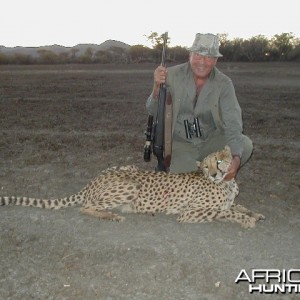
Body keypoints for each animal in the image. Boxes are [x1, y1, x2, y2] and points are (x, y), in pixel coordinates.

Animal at [0, 146, 264, 229]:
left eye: (218, 162)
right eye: (206, 167)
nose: (214, 174)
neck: (226, 183)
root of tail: (95, 178)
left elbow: (235, 206)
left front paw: (253, 213)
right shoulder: (188, 213)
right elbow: (224, 212)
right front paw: (246, 220)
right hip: (130, 186)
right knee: (85, 207)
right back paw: (111, 216)